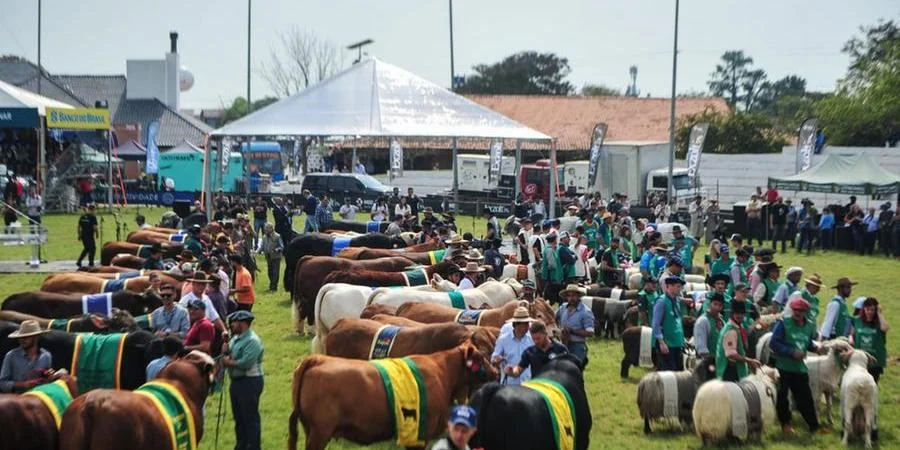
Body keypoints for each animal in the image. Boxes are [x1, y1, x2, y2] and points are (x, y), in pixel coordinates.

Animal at [288, 342, 500, 450]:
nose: (496, 371)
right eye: (480, 358)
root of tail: (317, 358)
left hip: (310, 429)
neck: (442, 372)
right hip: (320, 432)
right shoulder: (421, 433)